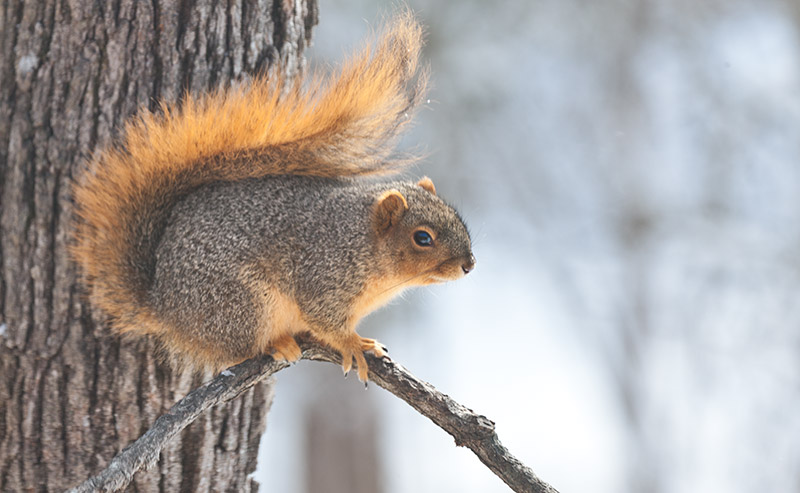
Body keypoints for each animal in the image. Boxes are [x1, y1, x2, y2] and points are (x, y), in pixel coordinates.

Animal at [71, 13, 475, 382]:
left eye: (457, 218)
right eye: (422, 238)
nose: (469, 265)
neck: (365, 246)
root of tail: (163, 305)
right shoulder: (323, 272)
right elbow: (323, 317)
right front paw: (352, 343)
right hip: (242, 303)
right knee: (237, 348)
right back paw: (275, 344)